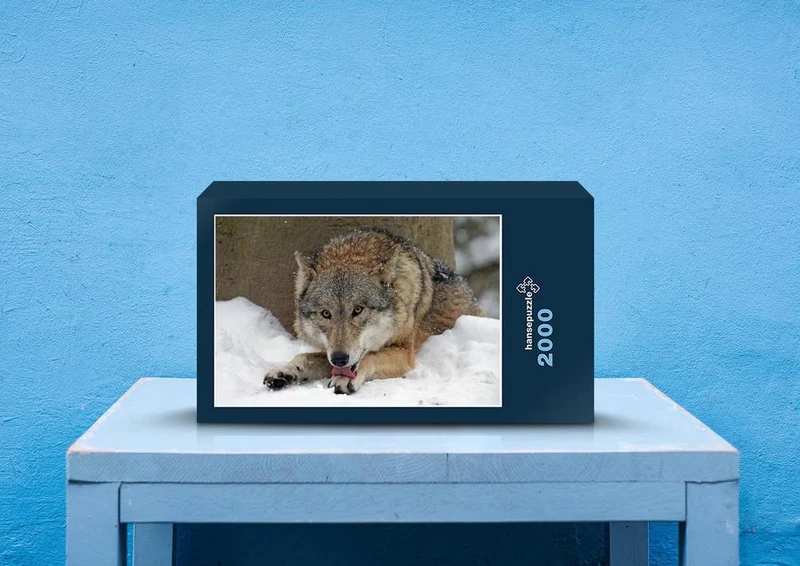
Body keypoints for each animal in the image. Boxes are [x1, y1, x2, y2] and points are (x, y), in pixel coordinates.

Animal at [263, 228, 484, 395]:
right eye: (326, 314)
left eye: (358, 310)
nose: (339, 359)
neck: (352, 253)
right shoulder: (330, 353)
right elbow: (303, 357)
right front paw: (285, 371)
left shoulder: (404, 352)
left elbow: (370, 357)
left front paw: (343, 378)